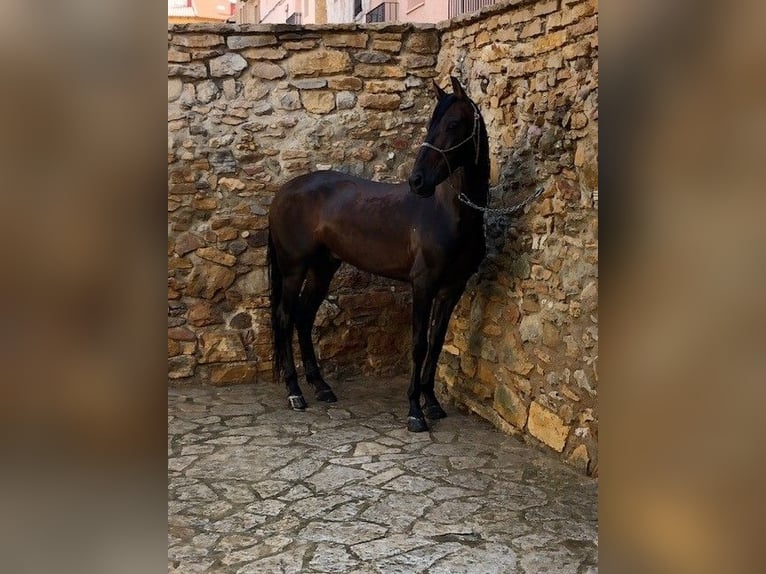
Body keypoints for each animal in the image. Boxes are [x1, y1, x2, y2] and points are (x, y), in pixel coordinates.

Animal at [267, 76, 490, 432]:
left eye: (453, 124)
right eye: (430, 124)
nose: (417, 181)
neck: (450, 213)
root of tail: (284, 192)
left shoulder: (451, 288)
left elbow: (436, 343)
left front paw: (432, 403)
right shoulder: (423, 285)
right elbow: (419, 343)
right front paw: (415, 412)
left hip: (322, 268)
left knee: (303, 317)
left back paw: (321, 387)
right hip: (293, 269)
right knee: (285, 317)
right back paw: (294, 392)